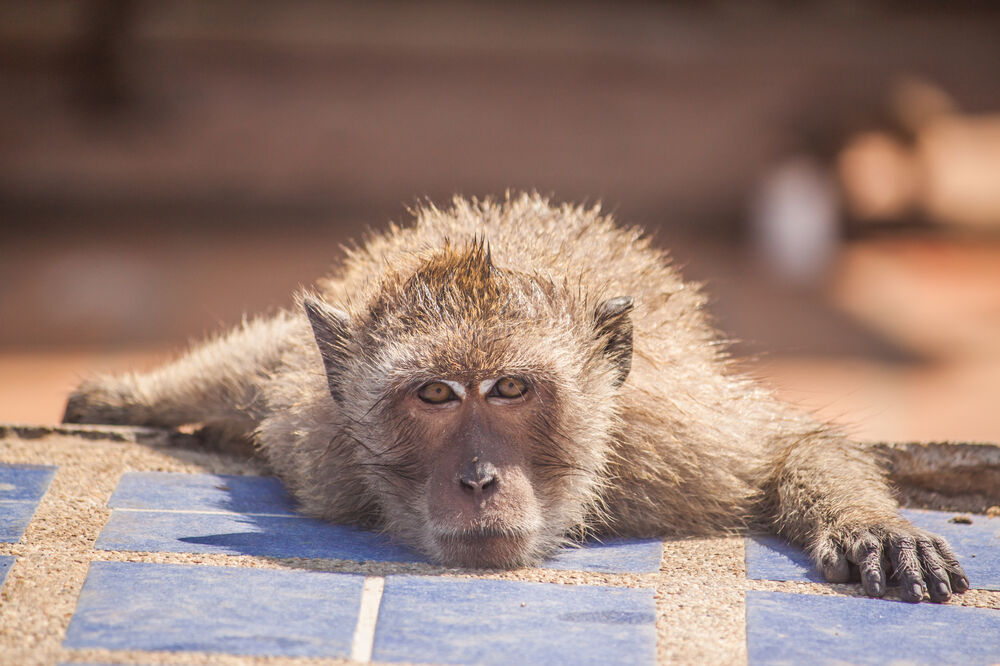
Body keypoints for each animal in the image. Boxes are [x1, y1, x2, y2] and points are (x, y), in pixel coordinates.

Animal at [64, 192, 968, 600]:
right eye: (435, 394)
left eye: (509, 389)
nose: (477, 479)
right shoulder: (313, 433)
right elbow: (271, 364)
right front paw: (130, 396)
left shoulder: (673, 440)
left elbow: (789, 447)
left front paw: (873, 525)